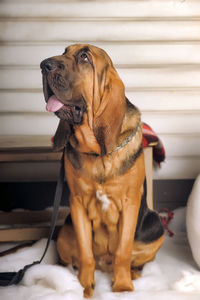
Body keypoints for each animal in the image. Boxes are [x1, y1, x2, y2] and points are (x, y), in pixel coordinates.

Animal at [40, 44, 164, 298]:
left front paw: (123, 287)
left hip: (156, 226)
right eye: (64, 52)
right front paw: (84, 286)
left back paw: (133, 273)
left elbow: (123, 251)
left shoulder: (130, 203)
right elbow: (86, 253)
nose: (44, 65)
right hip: (64, 233)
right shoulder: (77, 204)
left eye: (84, 57)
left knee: (133, 257)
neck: (98, 153)